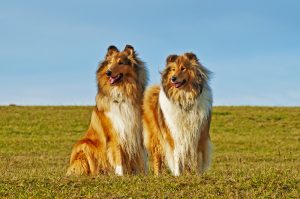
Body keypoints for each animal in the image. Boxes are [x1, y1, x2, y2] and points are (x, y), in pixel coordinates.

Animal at [67, 44, 148, 176]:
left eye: (121, 62)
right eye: (110, 62)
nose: (108, 72)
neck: (122, 94)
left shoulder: (137, 132)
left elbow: (141, 157)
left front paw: (143, 174)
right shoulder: (115, 132)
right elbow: (118, 155)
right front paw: (120, 175)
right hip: (85, 145)